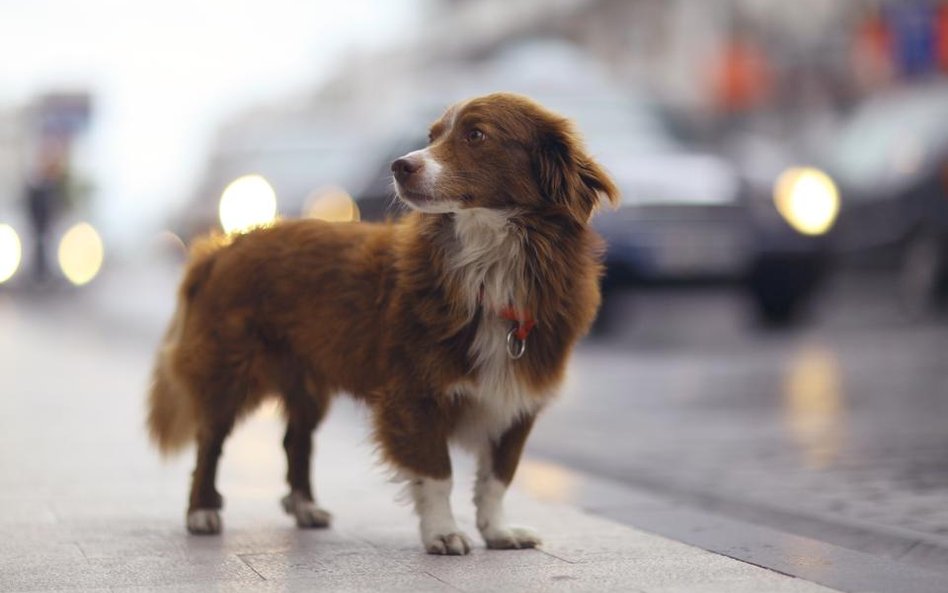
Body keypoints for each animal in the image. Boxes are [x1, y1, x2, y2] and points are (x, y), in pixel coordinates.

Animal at [147, 90, 620, 552]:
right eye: (431, 136)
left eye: (476, 134)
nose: (400, 165)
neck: (490, 267)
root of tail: (222, 247)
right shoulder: (414, 393)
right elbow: (437, 473)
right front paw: (443, 533)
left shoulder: (517, 397)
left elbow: (498, 478)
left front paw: (498, 532)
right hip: (229, 367)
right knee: (210, 441)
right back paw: (202, 512)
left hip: (305, 379)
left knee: (295, 440)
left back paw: (305, 507)